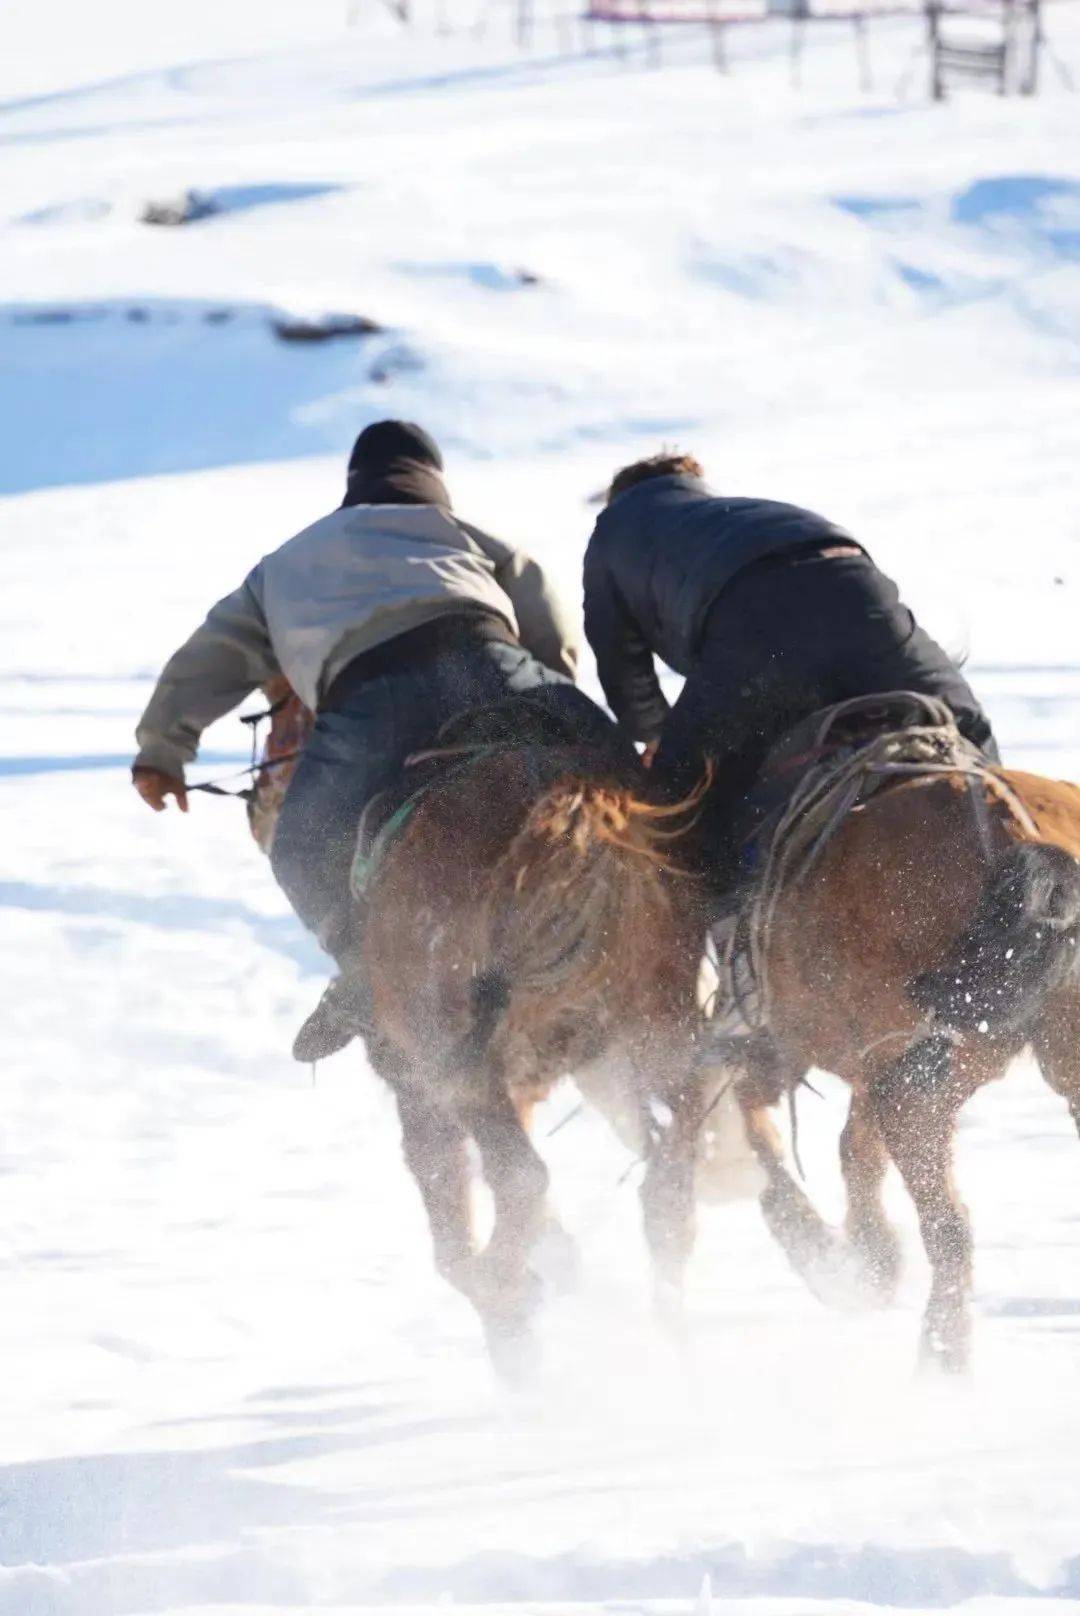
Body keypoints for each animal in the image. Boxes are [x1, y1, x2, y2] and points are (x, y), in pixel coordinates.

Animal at [354, 691, 708, 1376]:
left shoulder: (426, 1089)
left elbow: (455, 1230)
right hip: (661, 1041)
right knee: (670, 1190)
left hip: (464, 1070)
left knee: (523, 1183)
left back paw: (508, 1284)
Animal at [708, 720, 1080, 1376]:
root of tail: (1014, 836)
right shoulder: (876, 1064)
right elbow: (854, 1150)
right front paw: (870, 1257)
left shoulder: (780, 1043)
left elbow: (763, 1131)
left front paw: (828, 1256)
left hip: (907, 1088)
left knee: (949, 1226)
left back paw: (941, 1354)